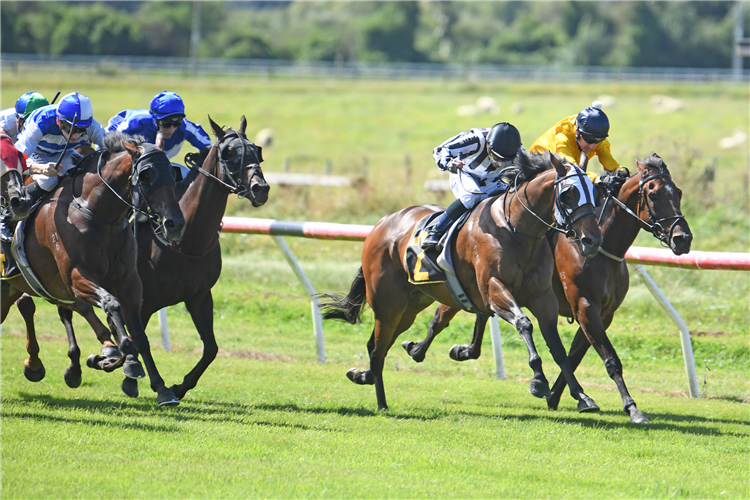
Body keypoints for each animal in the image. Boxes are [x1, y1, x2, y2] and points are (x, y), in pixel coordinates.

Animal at [0, 134, 187, 406]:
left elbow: (138, 334)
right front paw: (126, 359)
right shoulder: (75, 276)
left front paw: (161, 387)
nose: (175, 224)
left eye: (173, 175)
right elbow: (110, 305)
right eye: (146, 175)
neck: (96, 211)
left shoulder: (129, 282)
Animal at [322, 151, 604, 410]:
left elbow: (558, 348)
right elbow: (524, 323)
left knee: (380, 342)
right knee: (378, 348)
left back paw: (364, 375)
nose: (592, 241)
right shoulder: (494, 289)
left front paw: (583, 396)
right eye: (568, 193)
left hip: (411, 305)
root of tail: (380, 225)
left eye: (595, 193)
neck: (518, 229)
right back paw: (381, 402)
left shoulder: (543, 298)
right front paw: (538, 381)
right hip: (387, 303)